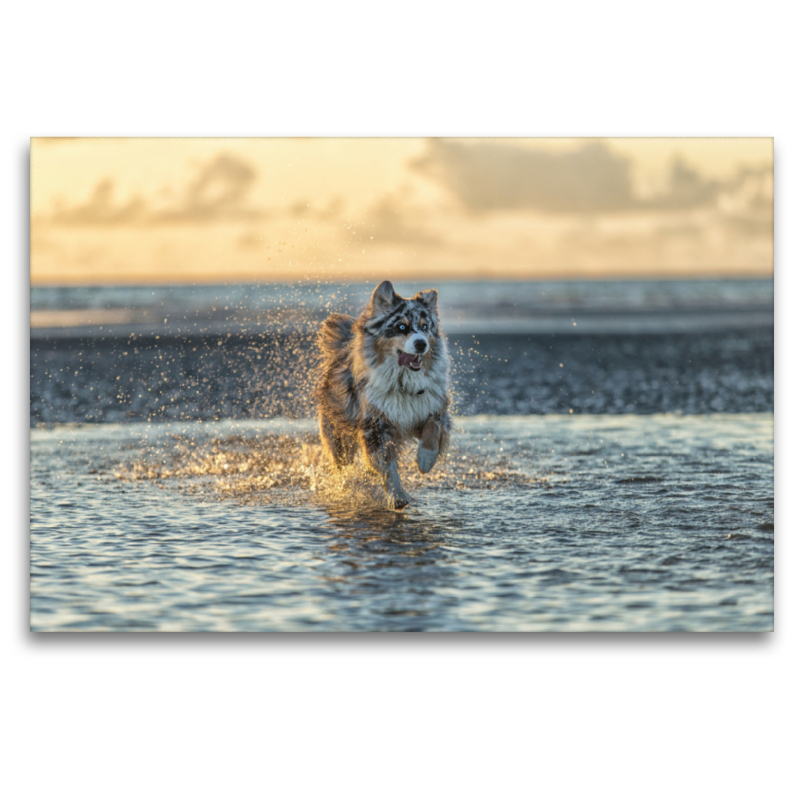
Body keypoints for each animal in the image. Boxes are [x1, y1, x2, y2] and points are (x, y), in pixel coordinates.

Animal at [314, 278, 450, 510]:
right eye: (401, 326)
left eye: (425, 327)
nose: (421, 344)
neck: (403, 382)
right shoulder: (375, 425)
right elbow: (386, 464)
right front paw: (397, 496)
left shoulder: (434, 408)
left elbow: (433, 429)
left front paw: (425, 460)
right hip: (339, 437)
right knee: (343, 465)